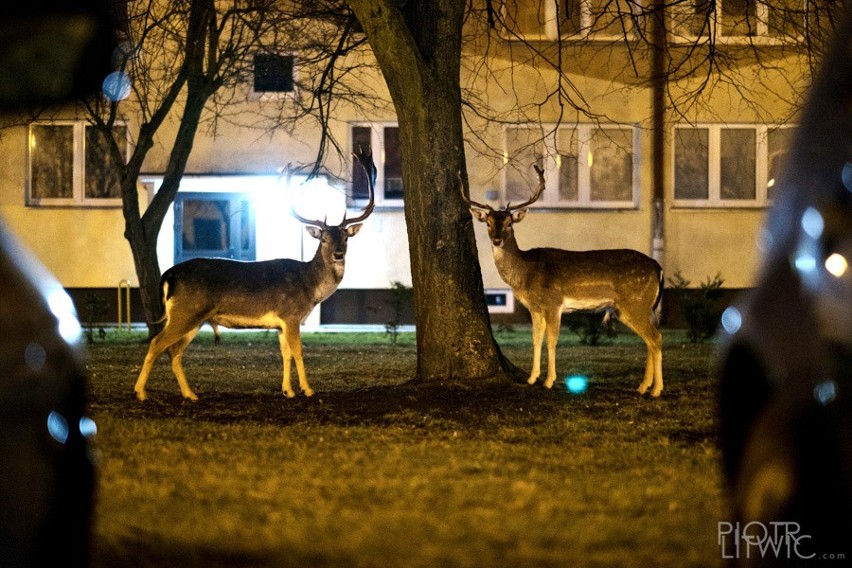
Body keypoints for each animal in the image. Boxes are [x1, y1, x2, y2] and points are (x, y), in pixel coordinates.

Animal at [134, 149, 376, 402]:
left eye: (346, 238)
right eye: (324, 239)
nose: (338, 254)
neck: (310, 287)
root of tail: (168, 276)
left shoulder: (281, 324)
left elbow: (285, 354)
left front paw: (287, 390)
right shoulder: (290, 314)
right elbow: (298, 351)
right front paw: (307, 389)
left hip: (194, 317)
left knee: (174, 350)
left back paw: (190, 394)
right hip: (186, 311)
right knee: (157, 342)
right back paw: (140, 392)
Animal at [460, 164, 664, 394]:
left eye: (509, 224)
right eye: (488, 222)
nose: (497, 240)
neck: (526, 272)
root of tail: (658, 267)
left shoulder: (553, 303)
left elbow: (551, 341)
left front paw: (549, 381)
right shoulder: (535, 308)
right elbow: (536, 340)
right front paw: (532, 378)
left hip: (635, 303)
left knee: (656, 338)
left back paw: (656, 389)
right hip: (636, 307)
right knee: (650, 339)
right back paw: (643, 386)